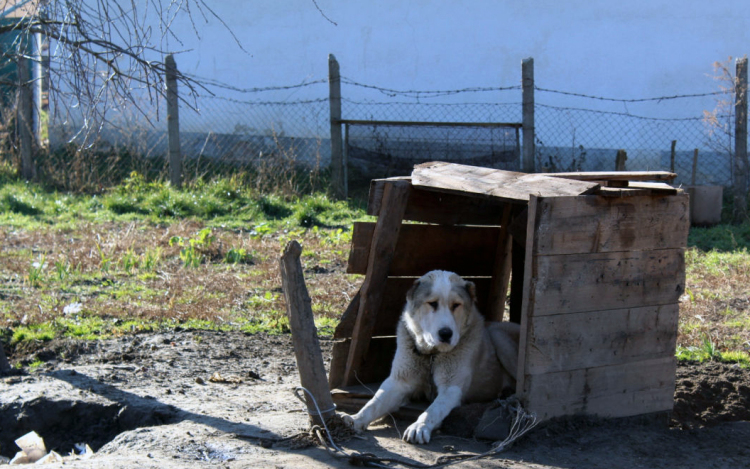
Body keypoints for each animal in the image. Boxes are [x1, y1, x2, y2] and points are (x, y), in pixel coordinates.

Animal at [344, 270, 520, 442]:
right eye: (433, 303)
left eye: (456, 305)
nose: (446, 334)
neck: (432, 356)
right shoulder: (398, 381)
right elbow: (374, 403)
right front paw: (355, 419)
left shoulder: (451, 388)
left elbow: (433, 409)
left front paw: (419, 426)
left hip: (498, 336)